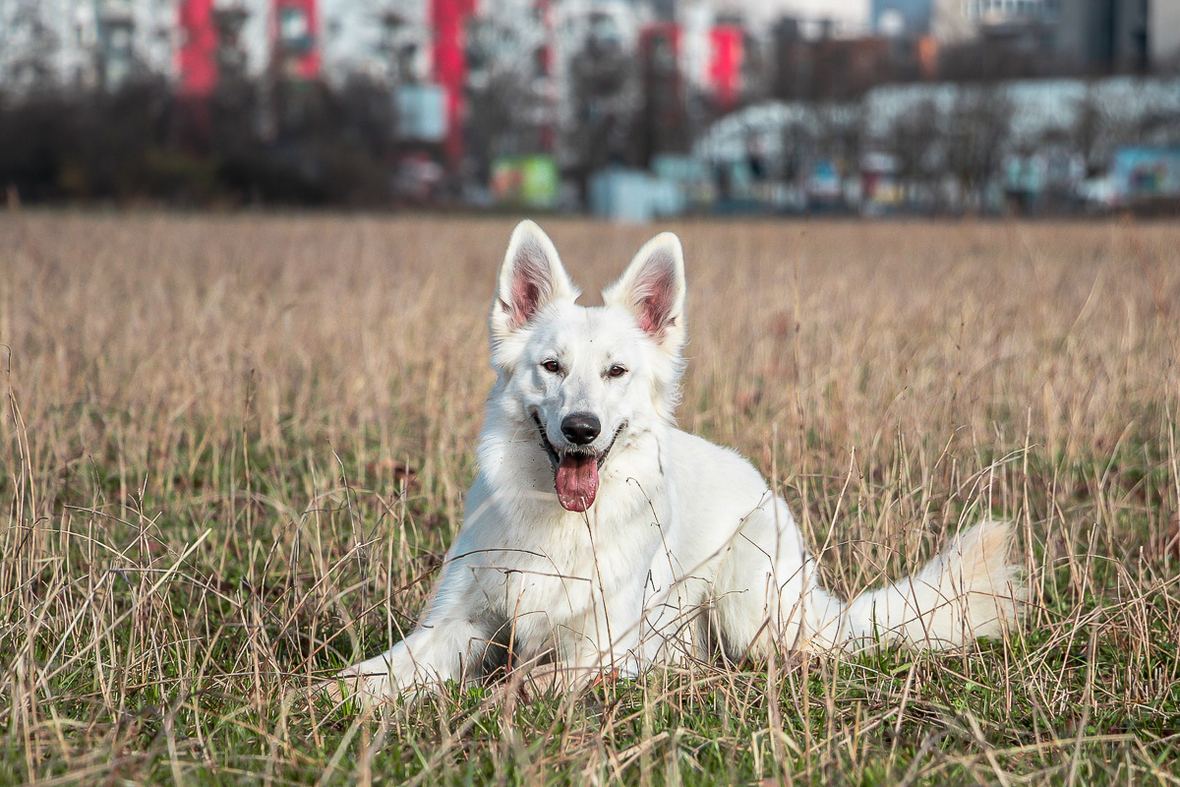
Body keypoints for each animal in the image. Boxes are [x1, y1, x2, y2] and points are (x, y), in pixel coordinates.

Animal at [337, 221, 1019, 703]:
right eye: (551, 366)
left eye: (616, 371)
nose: (581, 429)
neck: (561, 524)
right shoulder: (453, 625)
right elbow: (370, 676)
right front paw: (330, 697)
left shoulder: (604, 644)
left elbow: (537, 681)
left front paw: (504, 693)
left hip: (748, 599)